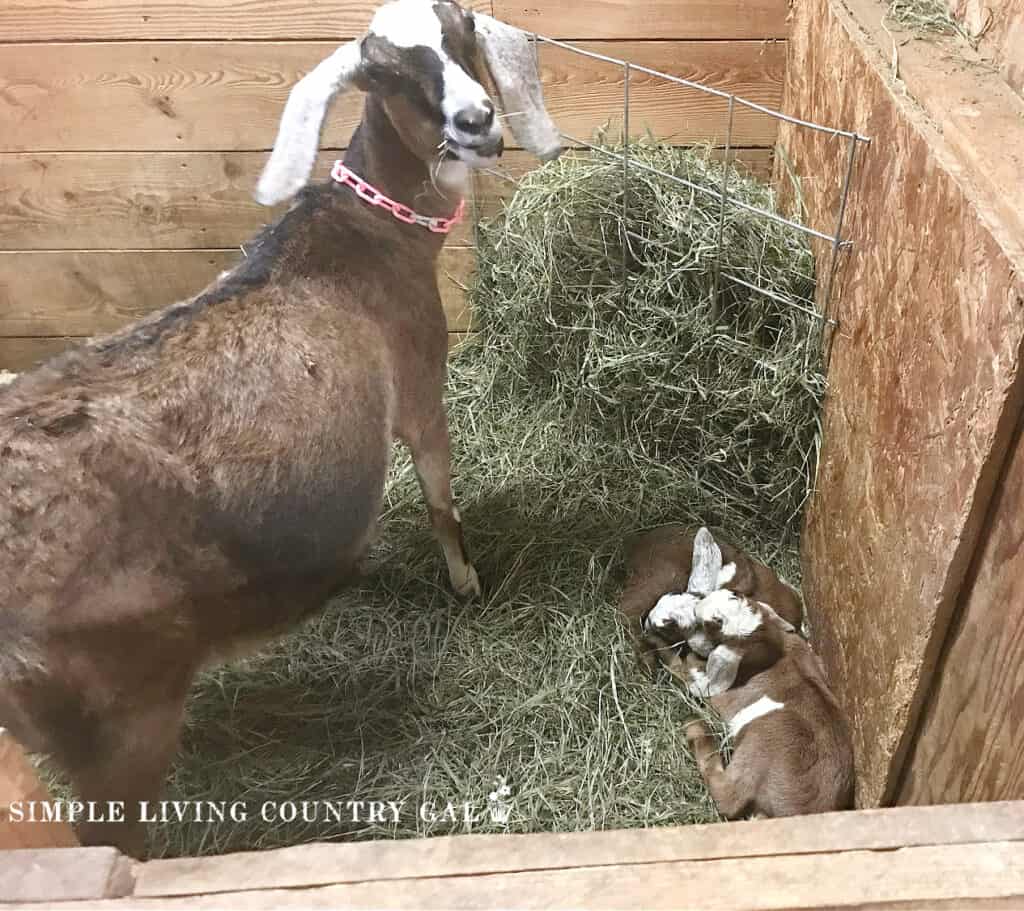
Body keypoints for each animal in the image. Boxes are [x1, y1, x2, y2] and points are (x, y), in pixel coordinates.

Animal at [0, 0, 561, 851]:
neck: (361, 236)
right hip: (120, 714)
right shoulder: (423, 387)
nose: (475, 119)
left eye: (461, 29)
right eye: (387, 72)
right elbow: (440, 499)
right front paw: (467, 580)